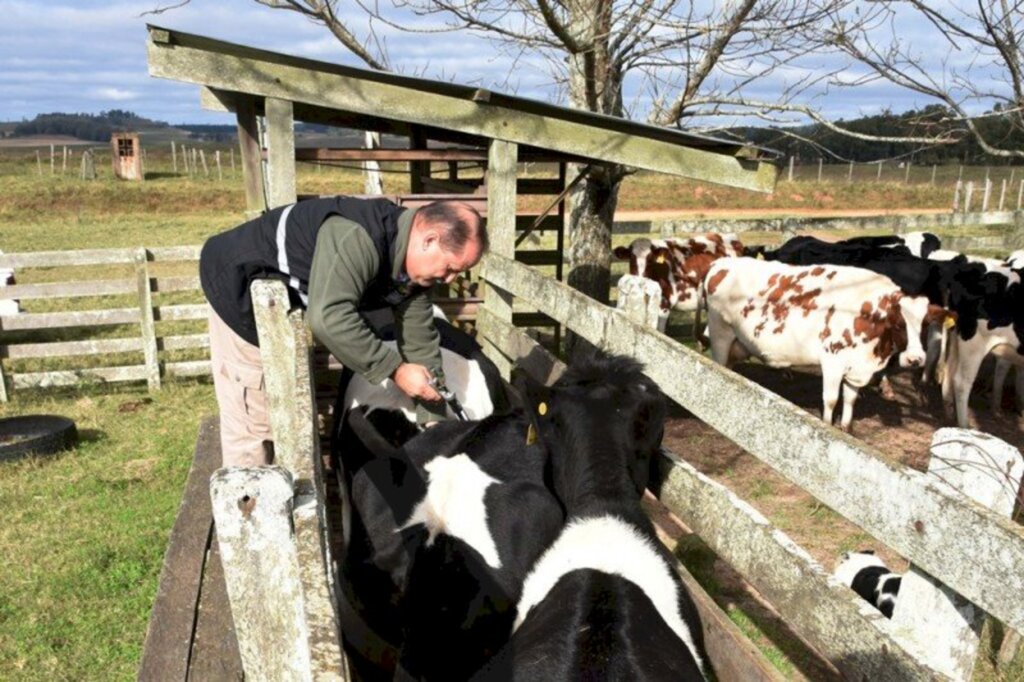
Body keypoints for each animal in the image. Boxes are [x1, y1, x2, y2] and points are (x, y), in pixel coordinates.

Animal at [704, 258, 950, 428]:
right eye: (899, 324)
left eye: (925, 325)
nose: (915, 359)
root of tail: (721, 263)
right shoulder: (833, 361)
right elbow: (830, 400)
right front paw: (828, 426)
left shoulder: (857, 367)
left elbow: (850, 400)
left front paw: (846, 428)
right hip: (720, 336)